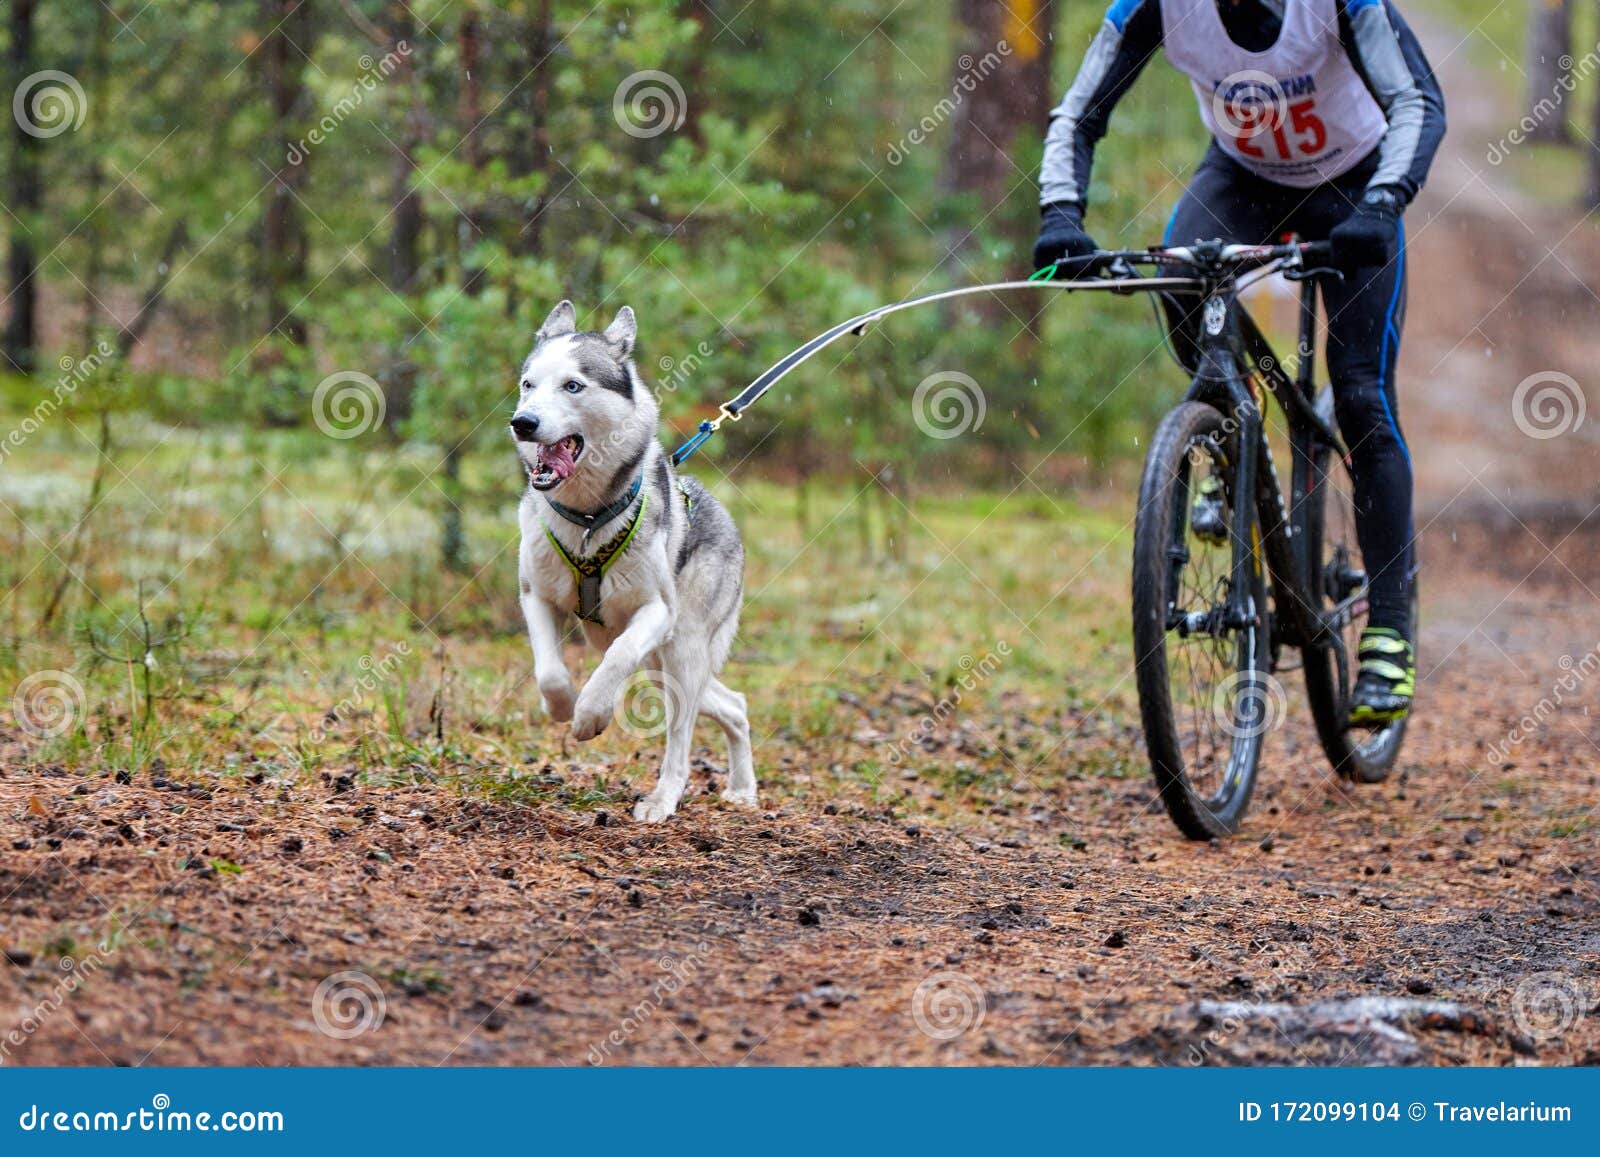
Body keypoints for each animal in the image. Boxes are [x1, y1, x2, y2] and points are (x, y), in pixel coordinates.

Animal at [515, 299, 758, 825]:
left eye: (572, 385)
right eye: (528, 384)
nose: (521, 422)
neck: (588, 519)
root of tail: (727, 519)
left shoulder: (656, 612)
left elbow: (615, 659)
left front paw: (591, 714)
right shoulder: (536, 597)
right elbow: (549, 670)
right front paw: (563, 708)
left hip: (681, 650)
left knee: (681, 738)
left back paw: (663, 799)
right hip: (662, 667)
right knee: (734, 704)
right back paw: (743, 788)